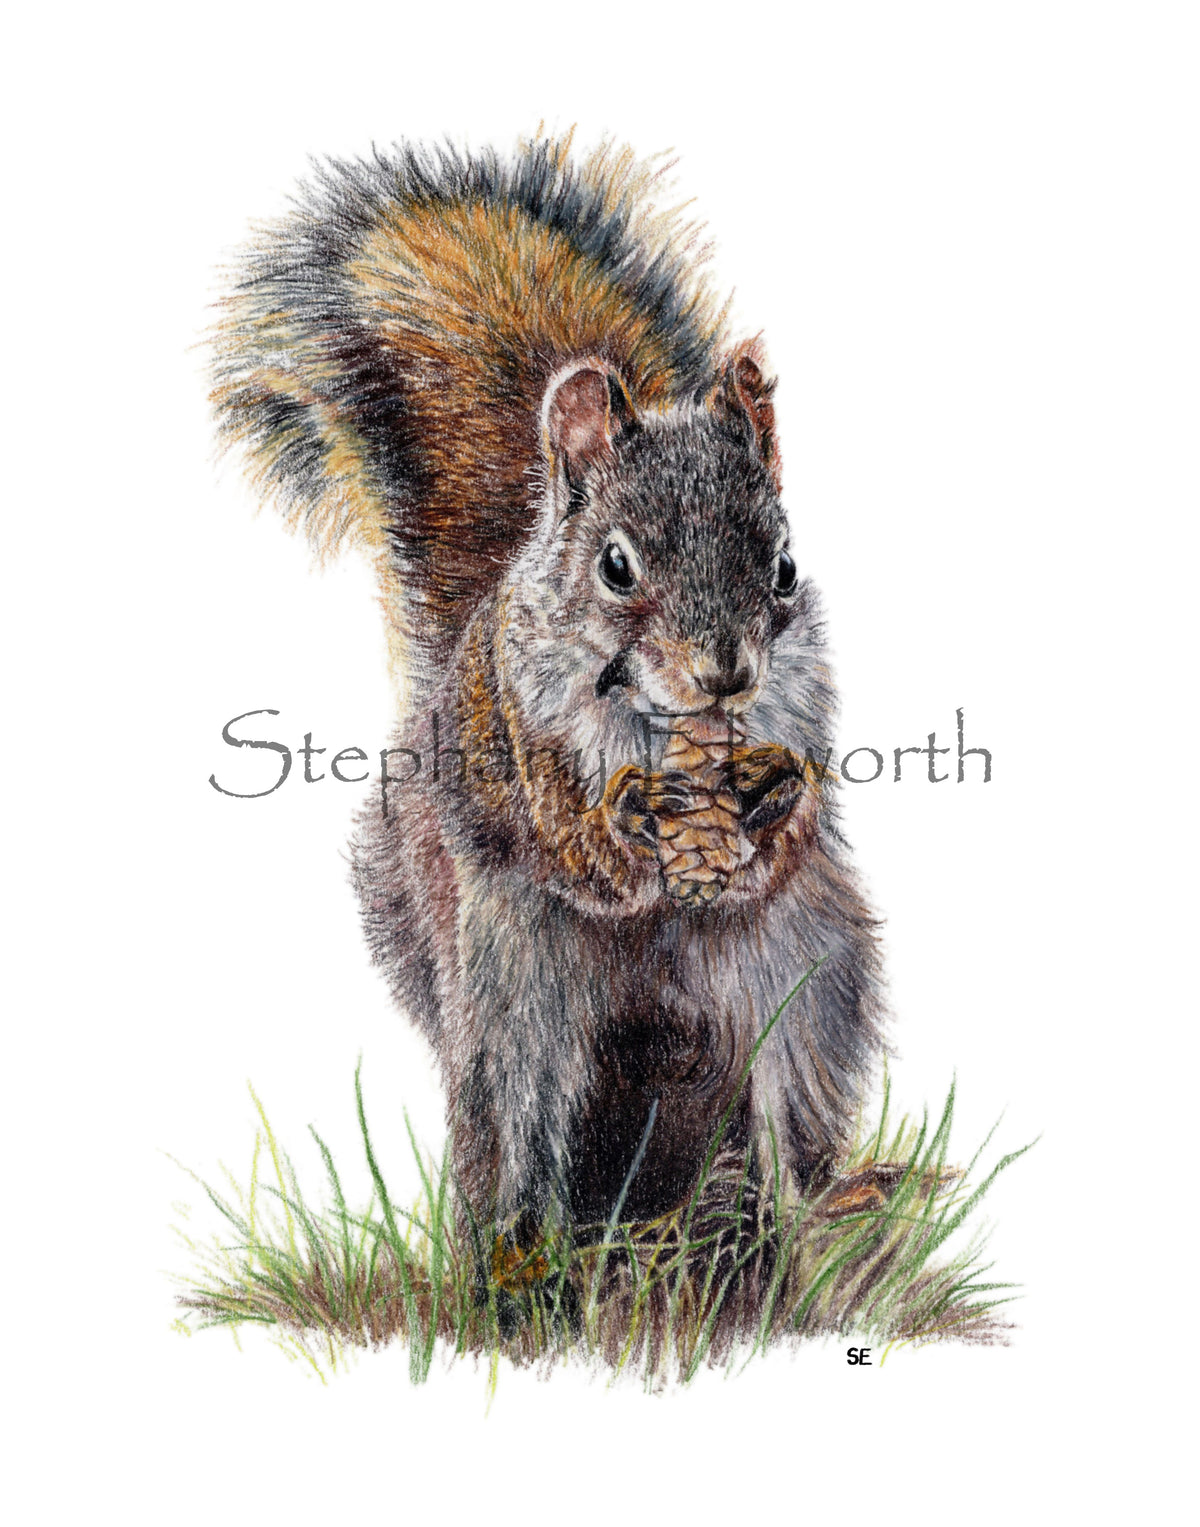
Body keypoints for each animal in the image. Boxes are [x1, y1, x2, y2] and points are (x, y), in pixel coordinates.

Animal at [211, 133, 885, 1235]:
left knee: (786, 1106)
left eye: (785, 565)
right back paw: (520, 1236)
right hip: (511, 992)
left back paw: (810, 1204)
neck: (660, 719)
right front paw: (629, 818)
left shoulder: (805, 709)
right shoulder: (519, 736)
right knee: (517, 1118)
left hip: (810, 981)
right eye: (615, 566)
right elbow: (574, 846)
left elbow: (789, 830)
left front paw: (770, 798)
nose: (726, 674)